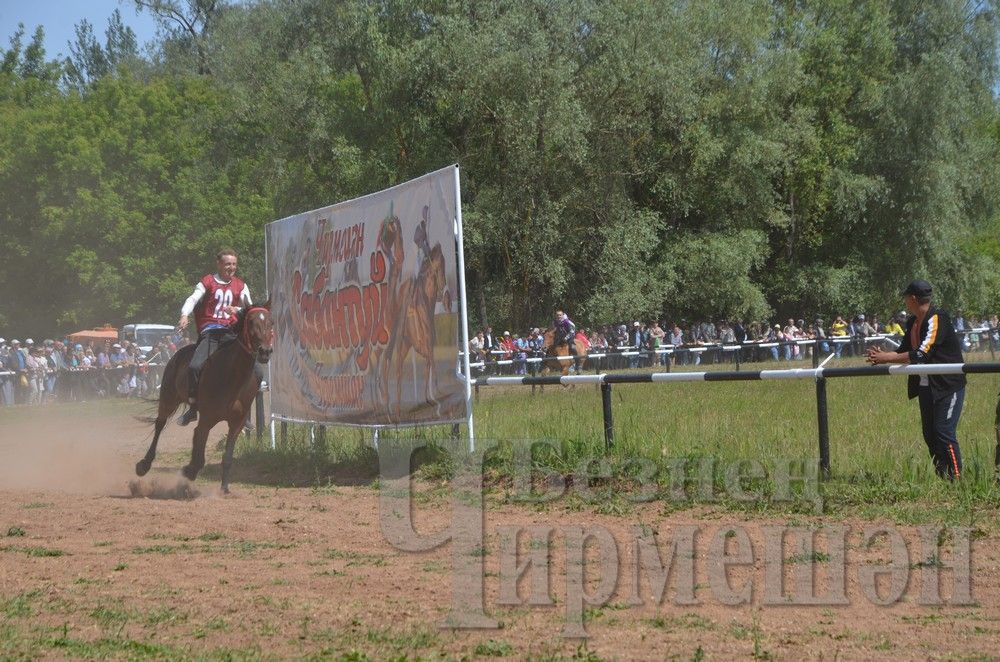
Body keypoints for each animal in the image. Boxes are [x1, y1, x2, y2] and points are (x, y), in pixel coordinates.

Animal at [135, 306, 274, 492]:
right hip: (168, 397)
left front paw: (224, 489)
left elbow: (227, 456)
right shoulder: (207, 419)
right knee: (159, 425)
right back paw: (144, 464)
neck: (232, 375)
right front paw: (189, 471)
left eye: (271, 322)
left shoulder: (236, 423)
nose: (265, 351)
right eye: (251, 322)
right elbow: (199, 451)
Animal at [380, 244, 448, 420]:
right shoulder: (426, 345)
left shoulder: (425, 346)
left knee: (393, 367)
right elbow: (431, 365)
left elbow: (428, 366)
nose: (446, 299)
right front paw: (436, 394)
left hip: (404, 345)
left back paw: (392, 409)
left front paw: (429, 398)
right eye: (441, 267)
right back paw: (393, 409)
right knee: (393, 367)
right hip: (400, 344)